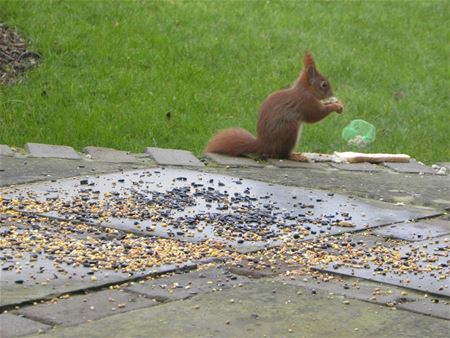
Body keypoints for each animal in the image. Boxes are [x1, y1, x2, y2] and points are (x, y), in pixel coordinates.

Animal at [206, 51, 342, 161]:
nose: (332, 94)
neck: (305, 90)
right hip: (289, 130)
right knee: (282, 154)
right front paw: (334, 106)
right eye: (324, 85)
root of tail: (264, 145)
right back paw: (295, 156)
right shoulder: (305, 102)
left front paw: (333, 103)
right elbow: (315, 115)